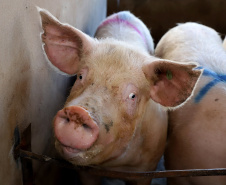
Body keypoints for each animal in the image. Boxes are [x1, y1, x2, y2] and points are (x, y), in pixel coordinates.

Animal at [38, 9, 201, 185]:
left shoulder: (145, 169)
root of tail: (124, 13)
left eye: (132, 96)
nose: (78, 112)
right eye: (80, 76)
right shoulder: (86, 171)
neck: (113, 166)